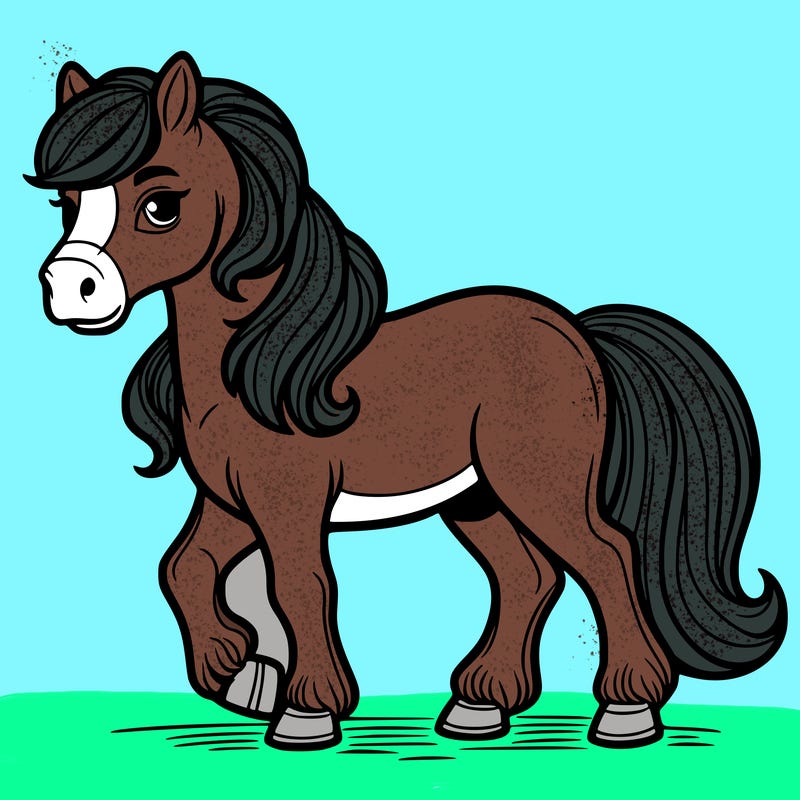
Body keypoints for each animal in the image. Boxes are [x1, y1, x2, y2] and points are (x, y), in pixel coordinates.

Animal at [28, 52, 786, 750]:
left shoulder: (288, 500)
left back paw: (625, 711)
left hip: (539, 483)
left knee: (605, 556)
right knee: (528, 575)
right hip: (478, 498)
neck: (257, 366)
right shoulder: (232, 500)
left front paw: (305, 713)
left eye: (161, 204)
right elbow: (183, 569)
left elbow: (300, 585)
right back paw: (480, 706)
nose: (70, 291)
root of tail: (577, 333)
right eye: (68, 204)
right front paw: (238, 675)